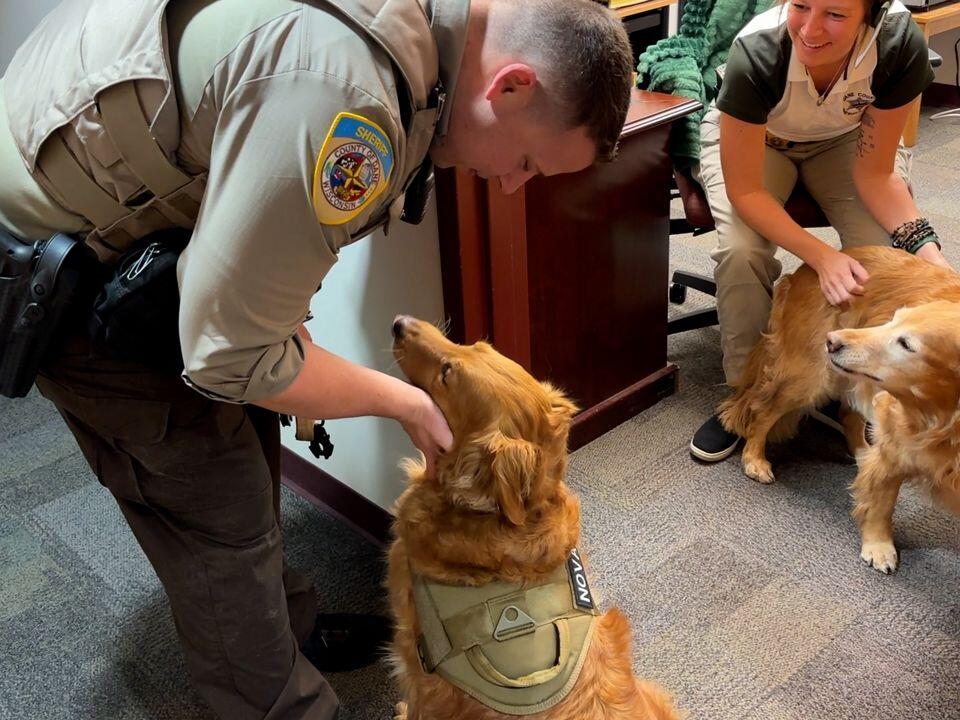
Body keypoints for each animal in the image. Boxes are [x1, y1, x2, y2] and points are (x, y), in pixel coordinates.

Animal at [719, 246, 960, 572]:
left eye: (906, 343)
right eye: (892, 321)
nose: (833, 341)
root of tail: (803, 271)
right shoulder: (898, 442)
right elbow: (882, 502)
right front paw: (878, 545)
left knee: (848, 417)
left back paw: (862, 453)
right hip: (809, 376)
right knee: (761, 412)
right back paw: (755, 459)